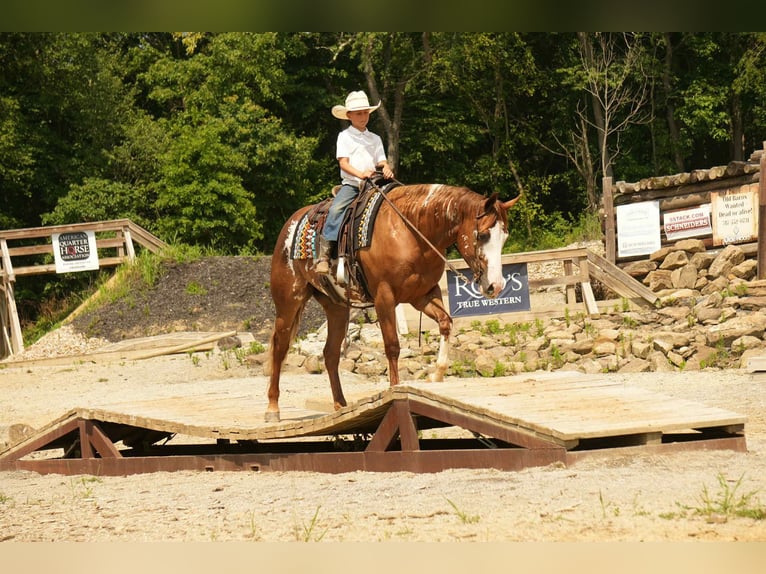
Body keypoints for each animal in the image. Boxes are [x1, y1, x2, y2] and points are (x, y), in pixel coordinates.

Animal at [265, 182, 520, 422]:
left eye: (505, 236)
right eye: (483, 235)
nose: (496, 286)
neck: (411, 231)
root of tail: (292, 222)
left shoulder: (424, 295)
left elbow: (446, 323)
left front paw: (436, 374)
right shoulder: (384, 297)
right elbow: (393, 346)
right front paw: (395, 389)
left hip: (336, 307)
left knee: (330, 353)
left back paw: (340, 406)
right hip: (288, 302)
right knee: (280, 347)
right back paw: (272, 408)